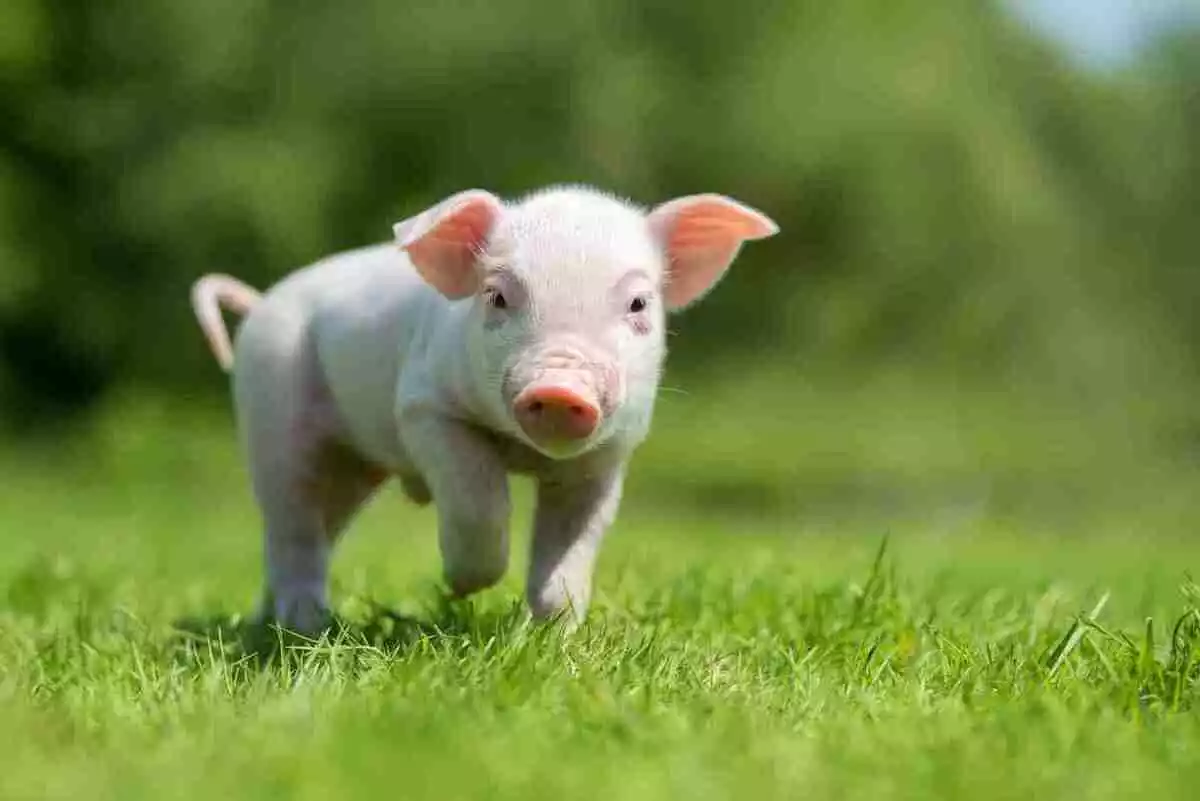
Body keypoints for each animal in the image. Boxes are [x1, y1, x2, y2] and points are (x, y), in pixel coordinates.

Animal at [190, 185, 778, 635]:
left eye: (639, 304)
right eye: (497, 297)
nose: (561, 388)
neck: (523, 453)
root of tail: (261, 301)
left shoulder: (607, 454)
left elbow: (572, 543)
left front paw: (557, 635)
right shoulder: (424, 407)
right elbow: (479, 498)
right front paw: (460, 588)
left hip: (352, 467)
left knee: (314, 528)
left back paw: (272, 622)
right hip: (272, 412)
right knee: (291, 525)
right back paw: (303, 627)